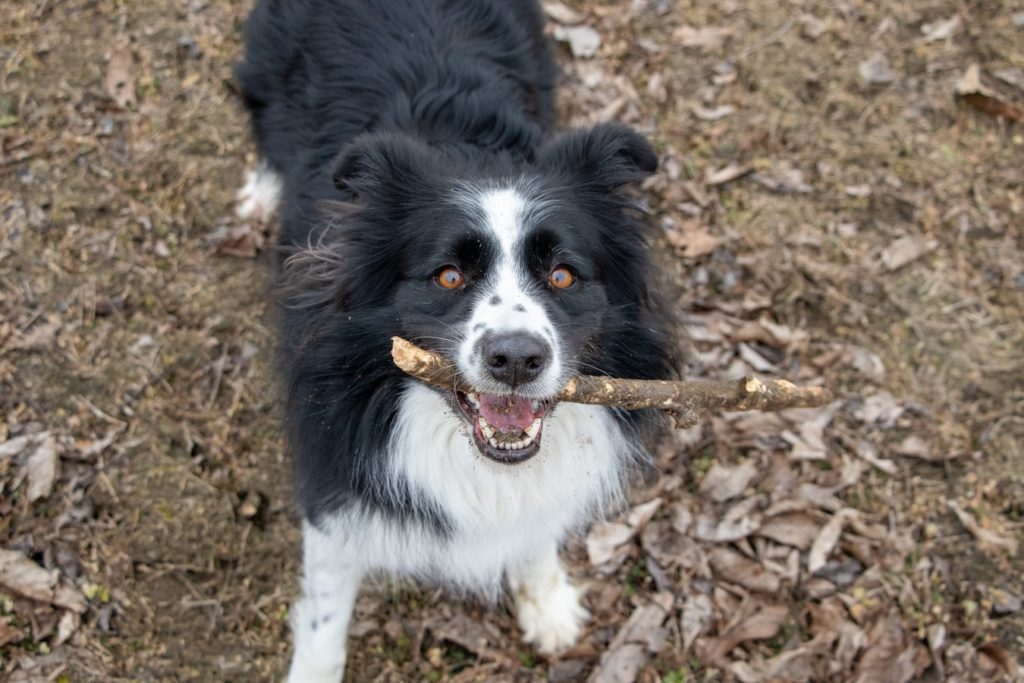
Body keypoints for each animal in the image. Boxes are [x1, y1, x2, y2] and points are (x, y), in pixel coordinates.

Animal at [235, 2, 675, 679]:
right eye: (447, 276)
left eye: (563, 275)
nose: (516, 359)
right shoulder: (334, 476)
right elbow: (324, 617)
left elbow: (536, 519)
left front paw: (547, 603)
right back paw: (261, 194)